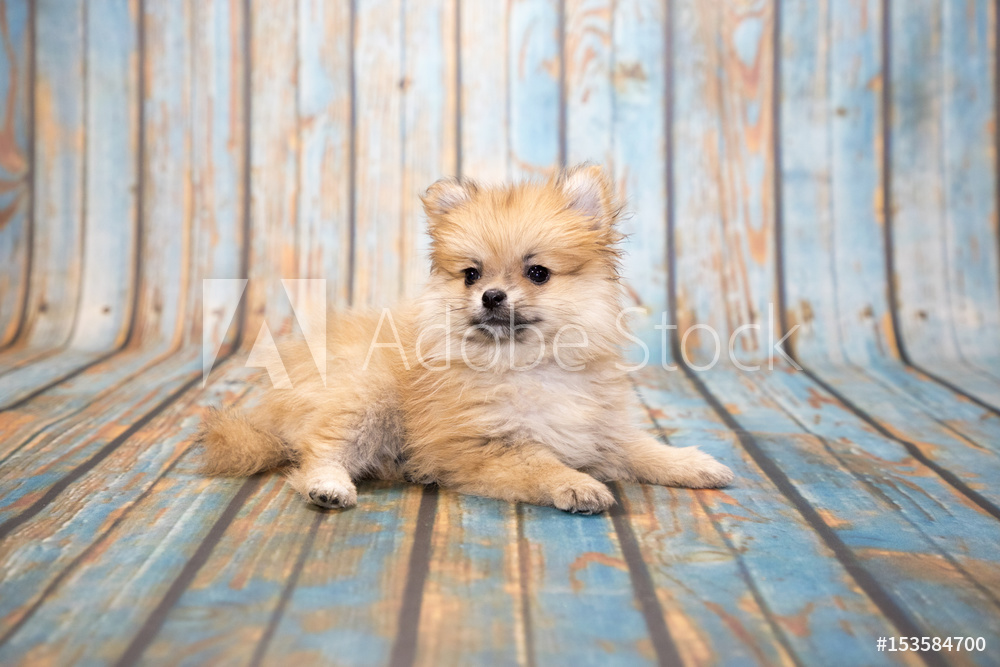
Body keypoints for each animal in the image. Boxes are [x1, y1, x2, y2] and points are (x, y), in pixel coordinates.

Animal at [201, 166, 736, 512]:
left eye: (538, 273)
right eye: (471, 275)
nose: (491, 295)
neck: (527, 364)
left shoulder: (599, 427)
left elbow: (641, 448)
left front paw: (692, 463)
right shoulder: (478, 446)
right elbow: (538, 463)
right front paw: (575, 484)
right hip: (367, 396)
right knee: (318, 452)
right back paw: (330, 488)